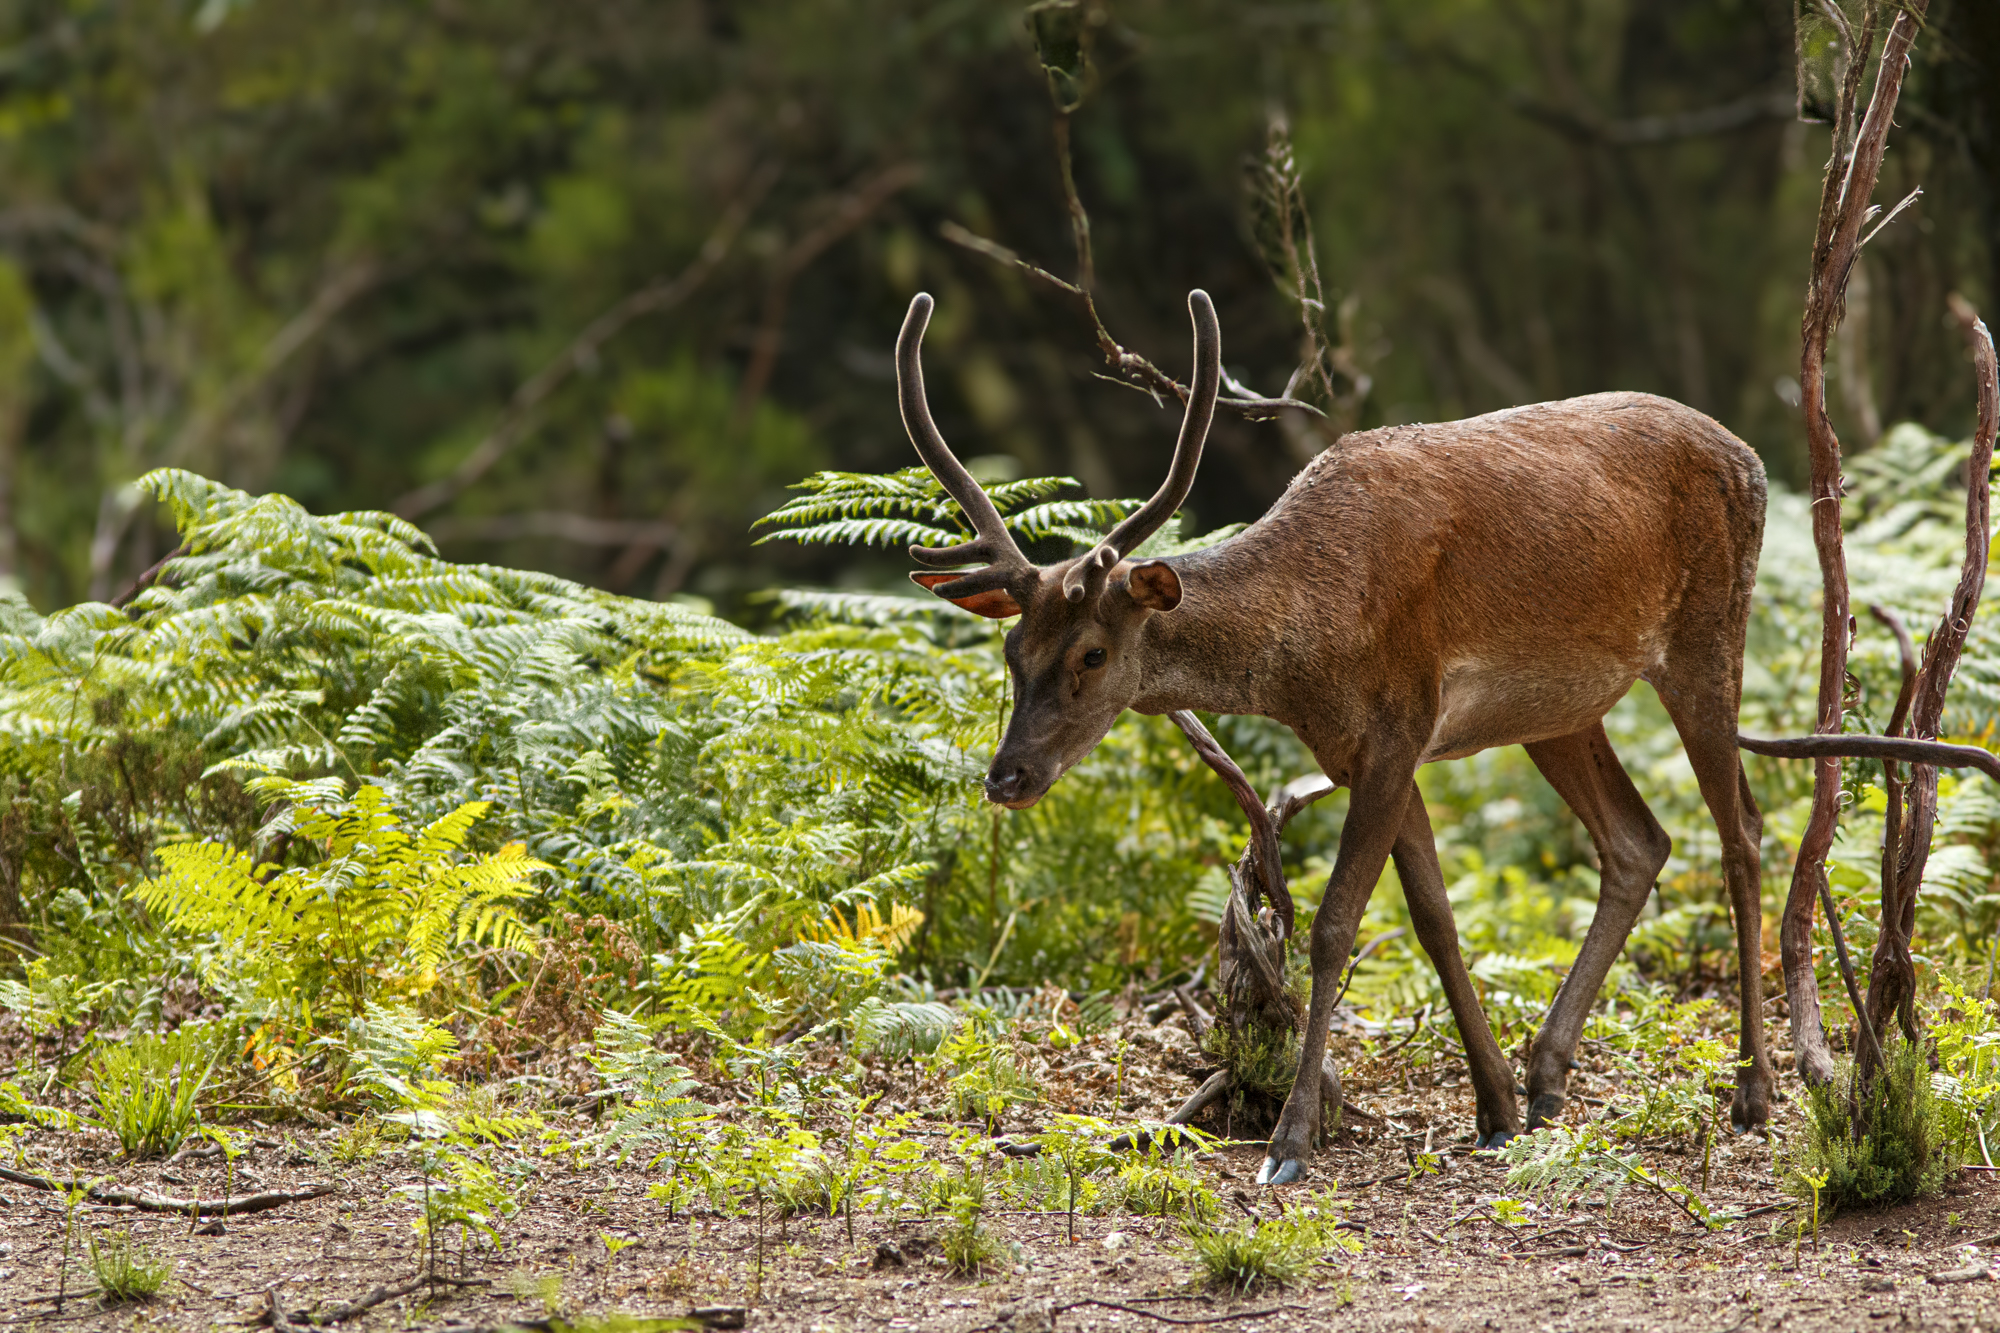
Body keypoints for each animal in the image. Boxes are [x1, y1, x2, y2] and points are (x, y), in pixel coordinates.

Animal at [896, 288, 1771, 1185]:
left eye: (1092, 653)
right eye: (1012, 649)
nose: (1007, 775)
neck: (1309, 648)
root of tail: (1753, 458)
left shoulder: (1399, 721)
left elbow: (1333, 927)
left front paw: (1289, 1141)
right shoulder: (1368, 751)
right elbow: (1434, 917)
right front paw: (1493, 1108)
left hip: (1707, 634)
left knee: (1741, 828)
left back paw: (1757, 1089)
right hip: (1558, 710)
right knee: (1639, 840)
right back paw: (1546, 1079)